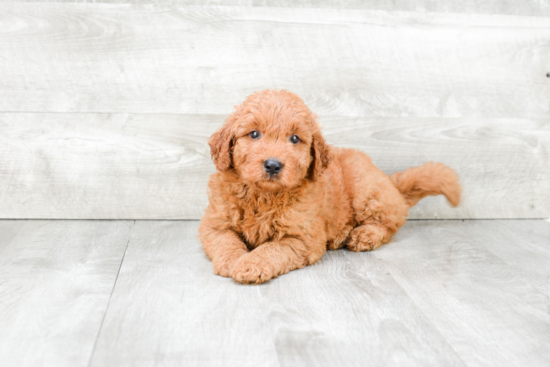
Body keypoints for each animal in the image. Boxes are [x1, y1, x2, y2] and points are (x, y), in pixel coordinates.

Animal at [198, 89, 462, 284]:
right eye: (254, 134)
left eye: (295, 139)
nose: (273, 165)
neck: (264, 195)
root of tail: (389, 181)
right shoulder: (215, 224)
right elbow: (226, 241)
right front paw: (232, 261)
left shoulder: (303, 238)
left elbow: (272, 249)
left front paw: (251, 264)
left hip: (365, 188)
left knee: (390, 222)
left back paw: (363, 235)